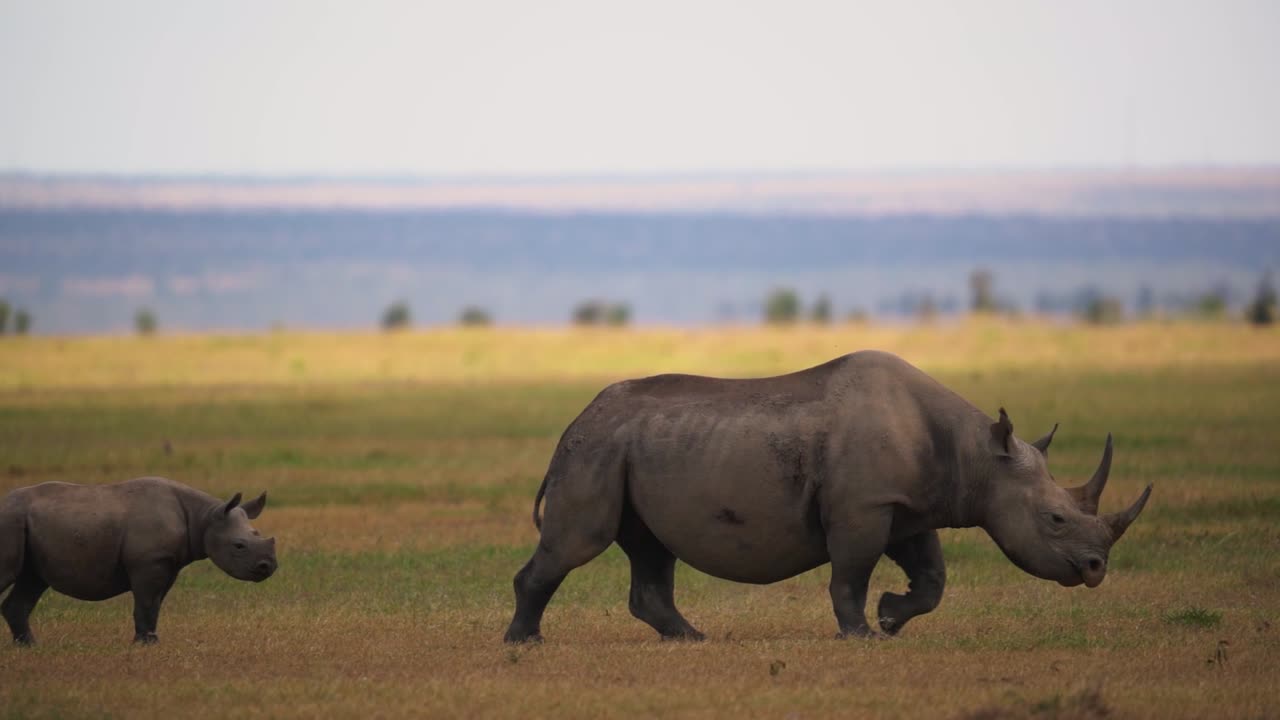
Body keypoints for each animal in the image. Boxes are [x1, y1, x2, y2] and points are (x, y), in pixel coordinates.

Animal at [0, 476, 277, 645]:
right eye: (239, 546)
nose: (269, 567)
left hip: (27, 527)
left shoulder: (168, 564)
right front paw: (145, 644)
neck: (204, 517)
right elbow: (145, 602)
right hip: (10, 519)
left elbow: (155, 604)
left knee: (31, 580)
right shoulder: (149, 562)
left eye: (257, 534)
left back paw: (30, 646)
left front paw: (149, 640)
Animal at [504, 350, 1152, 642]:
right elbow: (850, 574)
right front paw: (861, 634)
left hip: (630, 449)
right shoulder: (863, 507)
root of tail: (577, 420)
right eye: (1055, 519)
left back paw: (690, 638)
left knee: (650, 548)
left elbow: (933, 579)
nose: (1096, 569)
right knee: (579, 543)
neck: (975, 458)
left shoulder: (909, 507)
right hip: (595, 451)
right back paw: (525, 642)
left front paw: (891, 618)